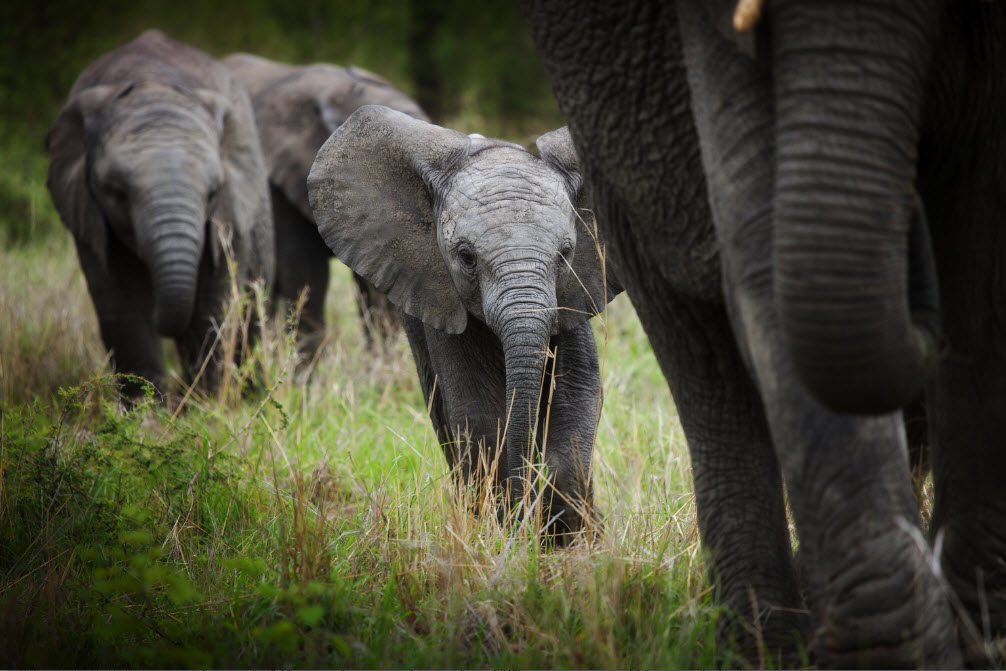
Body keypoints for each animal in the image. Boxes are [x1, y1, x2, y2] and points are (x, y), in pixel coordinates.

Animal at [46, 31, 273, 396]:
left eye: (213, 193)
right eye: (116, 192)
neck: (154, 86)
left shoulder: (227, 213)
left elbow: (213, 305)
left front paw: (204, 405)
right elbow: (122, 310)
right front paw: (148, 410)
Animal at [305, 107, 619, 539]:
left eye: (565, 254)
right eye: (466, 256)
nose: (524, 502)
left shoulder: (573, 294)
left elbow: (576, 391)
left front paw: (567, 539)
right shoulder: (439, 298)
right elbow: (476, 411)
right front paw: (509, 531)